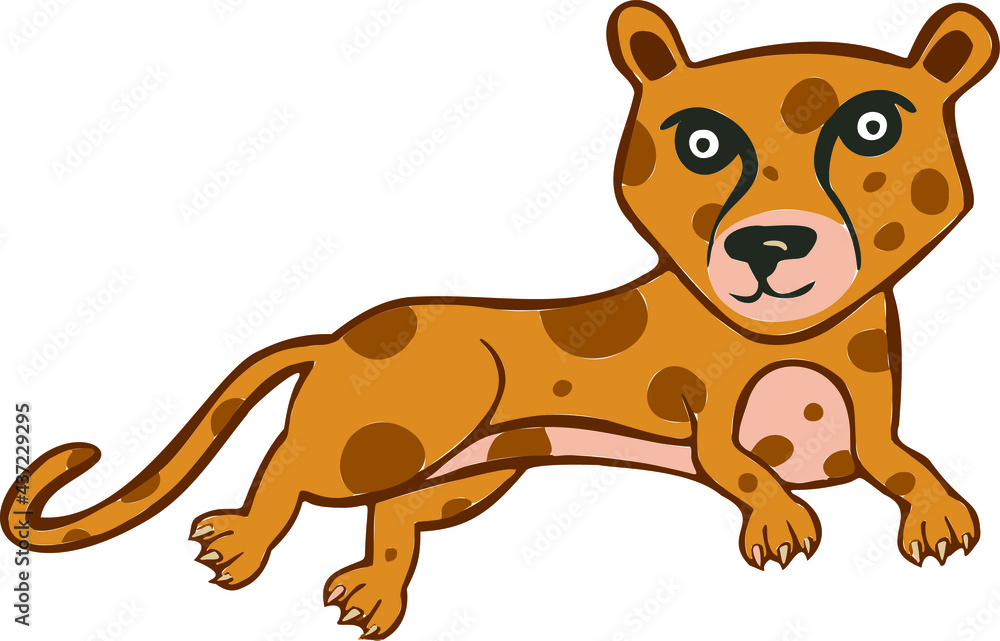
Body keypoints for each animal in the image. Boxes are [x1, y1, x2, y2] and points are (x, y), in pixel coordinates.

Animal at [4, 3, 997, 638]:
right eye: (703, 142)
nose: (771, 243)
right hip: (392, 432)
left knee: (395, 512)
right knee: (293, 459)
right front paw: (781, 523)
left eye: (871, 128)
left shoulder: (870, 424)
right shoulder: (708, 416)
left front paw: (942, 516)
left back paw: (373, 592)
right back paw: (245, 540)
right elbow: (742, 465)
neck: (806, 338)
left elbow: (906, 463)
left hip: (471, 473)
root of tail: (340, 334)